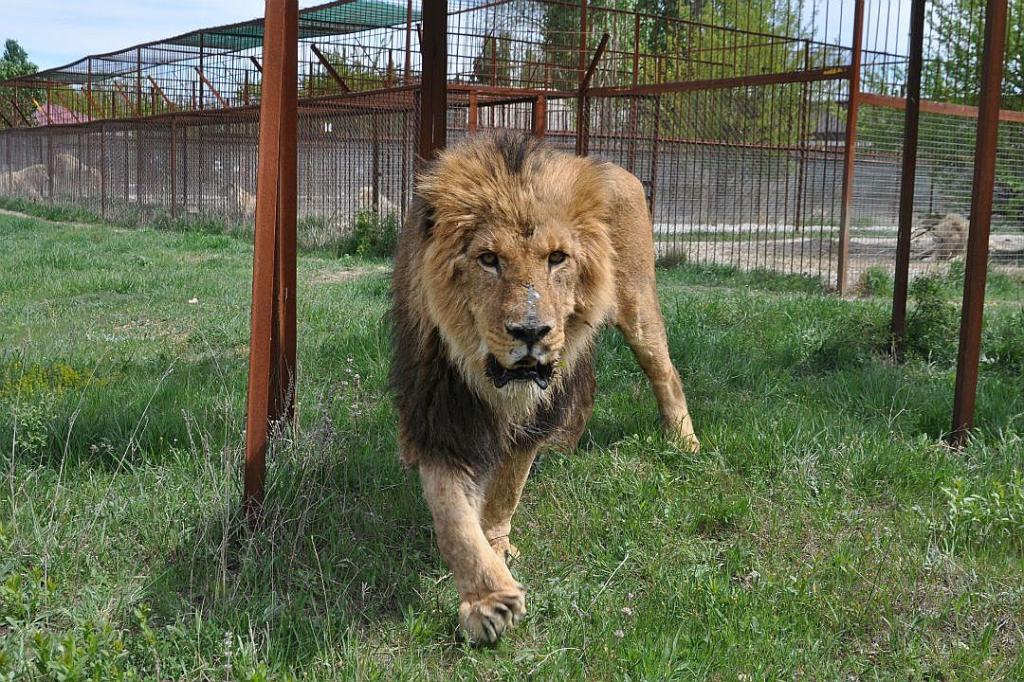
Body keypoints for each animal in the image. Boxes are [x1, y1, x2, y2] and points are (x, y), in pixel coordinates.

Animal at [387, 133, 700, 643]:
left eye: (556, 258)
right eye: (488, 259)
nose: (531, 331)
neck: (493, 382)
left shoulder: (527, 418)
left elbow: (506, 491)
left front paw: (497, 547)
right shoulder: (440, 416)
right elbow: (453, 517)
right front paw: (488, 601)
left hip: (637, 307)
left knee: (665, 373)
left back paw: (684, 442)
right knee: (587, 388)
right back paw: (564, 447)